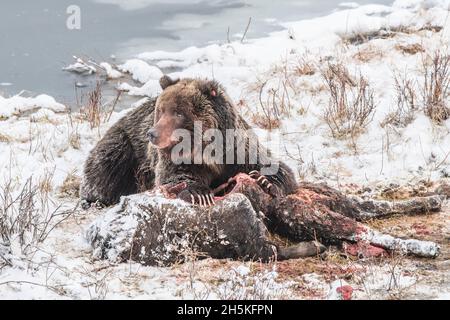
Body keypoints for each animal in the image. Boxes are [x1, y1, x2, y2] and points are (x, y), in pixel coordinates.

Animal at [81, 77, 298, 208]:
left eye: (178, 112)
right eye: (161, 110)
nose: (152, 134)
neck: (209, 152)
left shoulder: (239, 150)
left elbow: (277, 167)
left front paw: (265, 180)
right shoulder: (174, 157)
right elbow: (174, 176)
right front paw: (198, 192)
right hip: (125, 146)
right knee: (106, 166)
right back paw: (94, 197)